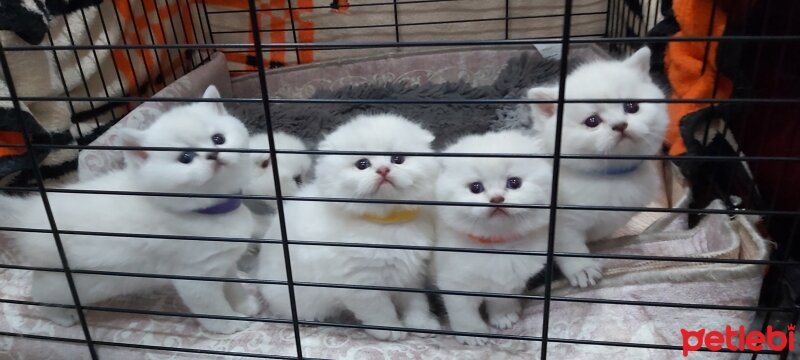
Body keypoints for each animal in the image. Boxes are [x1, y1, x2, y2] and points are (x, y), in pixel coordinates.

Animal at [0, 86, 260, 334]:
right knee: (40, 293)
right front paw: (229, 324)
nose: (213, 154)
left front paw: (245, 306)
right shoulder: (194, 276)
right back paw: (62, 316)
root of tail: (30, 210)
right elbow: (211, 306)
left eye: (218, 138)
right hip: (69, 282)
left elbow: (234, 286)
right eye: (185, 158)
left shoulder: (224, 263)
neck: (211, 212)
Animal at [256, 114, 440, 340]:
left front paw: (421, 324)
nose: (383, 170)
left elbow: (416, 303)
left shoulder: (411, 275)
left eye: (398, 159)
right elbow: (380, 309)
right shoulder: (359, 283)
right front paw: (390, 330)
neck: (386, 222)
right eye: (362, 164)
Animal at [432, 131, 552, 344]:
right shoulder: (455, 283)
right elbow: (464, 313)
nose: (496, 199)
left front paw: (504, 317)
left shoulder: (508, 283)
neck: (497, 247)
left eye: (514, 182)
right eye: (475, 187)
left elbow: (501, 301)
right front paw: (472, 334)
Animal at [524, 47, 668, 288]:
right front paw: (582, 269)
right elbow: (569, 246)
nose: (620, 125)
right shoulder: (561, 223)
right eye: (592, 121)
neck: (609, 177)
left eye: (632, 107)